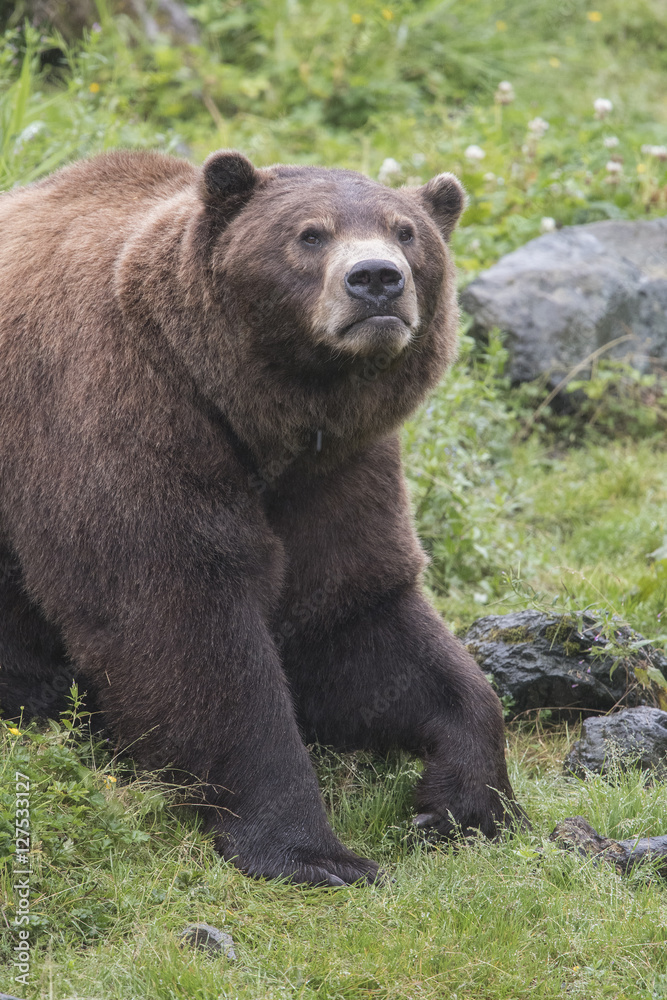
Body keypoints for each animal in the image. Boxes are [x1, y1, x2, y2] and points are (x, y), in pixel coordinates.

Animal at [0, 146, 520, 884]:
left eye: (406, 231)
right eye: (310, 234)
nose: (376, 280)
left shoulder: (336, 470)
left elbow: (357, 616)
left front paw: (461, 801)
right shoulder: (123, 418)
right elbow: (182, 628)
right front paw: (313, 850)